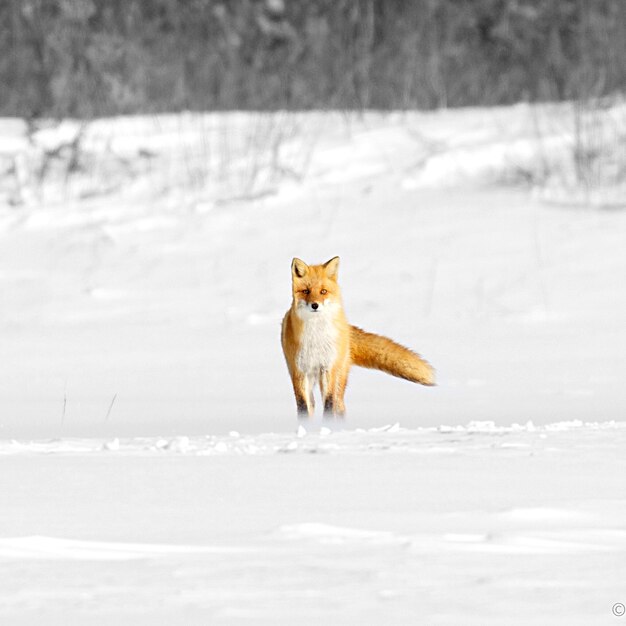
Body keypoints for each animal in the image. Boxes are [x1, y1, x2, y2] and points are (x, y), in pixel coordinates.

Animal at [282, 256, 434, 416]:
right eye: (306, 291)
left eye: (323, 291)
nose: (315, 305)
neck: (316, 337)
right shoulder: (299, 371)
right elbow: (303, 407)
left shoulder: (328, 369)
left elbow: (329, 404)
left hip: (338, 377)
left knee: (339, 405)